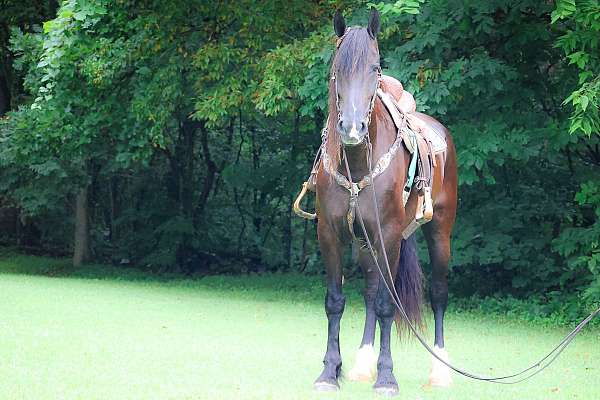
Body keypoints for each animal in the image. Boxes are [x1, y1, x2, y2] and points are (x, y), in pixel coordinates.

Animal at [312, 7, 458, 396]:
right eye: (337, 67)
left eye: (375, 69)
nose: (351, 129)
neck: (357, 163)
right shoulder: (330, 234)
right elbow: (336, 301)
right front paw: (330, 372)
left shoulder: (389, 234)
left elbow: (388, 306)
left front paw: (387, 378)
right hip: (366, 244)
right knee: (370, 290)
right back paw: (363, 362)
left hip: (439, 232)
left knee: (438, 293)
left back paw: (440, 370)